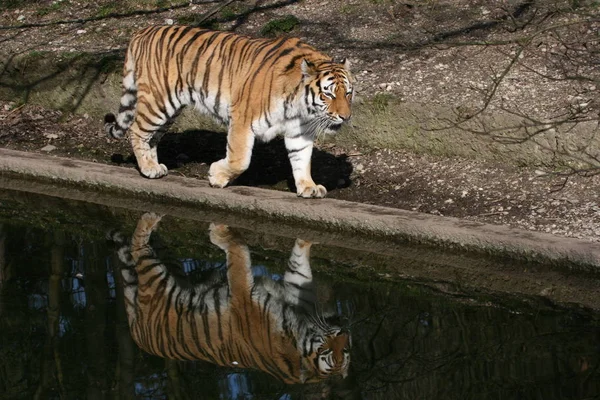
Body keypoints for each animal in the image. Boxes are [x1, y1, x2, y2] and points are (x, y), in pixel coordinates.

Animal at [105, 25, 354, 198]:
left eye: (348, 93)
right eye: (329, 94)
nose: (346, 116)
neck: (300, 108)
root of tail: (142, 31)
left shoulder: (299, 132)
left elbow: (302, 159)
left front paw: (308, 187)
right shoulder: (243, 120)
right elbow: (240, 160)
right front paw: (216, 176)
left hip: (169, 109)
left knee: (153, 137)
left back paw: (155, 166)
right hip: (157, 101)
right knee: (137, 131)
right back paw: (147, 168)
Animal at [111, 212, 352, 384]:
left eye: (343, 350)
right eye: (328, 351)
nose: (344, 332)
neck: (298, 331)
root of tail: (135, 332)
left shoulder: (255, 297)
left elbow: (247, 258)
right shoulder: (277, 292)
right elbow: (258, 257)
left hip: (161, 273)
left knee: (139, 247)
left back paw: (152, 221)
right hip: (163, 269)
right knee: (141, 245)